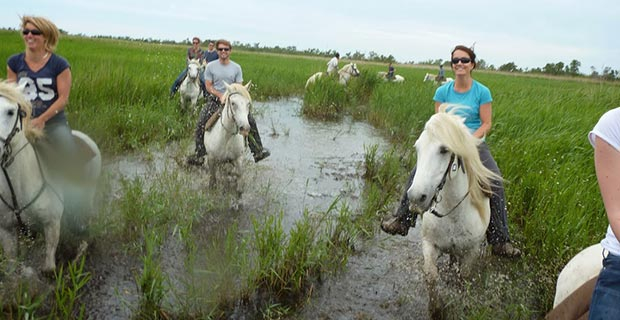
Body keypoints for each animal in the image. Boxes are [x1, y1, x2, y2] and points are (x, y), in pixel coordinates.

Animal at [203, 81, 252, 209]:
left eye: (248, 104)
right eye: (233, 103)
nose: (245, 128)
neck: (227, 136)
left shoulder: (238, 158)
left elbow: (239, 175)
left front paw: (237, 201)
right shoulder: (212, 159)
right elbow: (213, 180)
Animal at [406, 105, 498, 318]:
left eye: (444, 149)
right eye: (418, 148)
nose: (416, 197)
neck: (453, 213)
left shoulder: (471, 252)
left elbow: (463, 278)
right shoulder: (429, 245)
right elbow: (431, 276)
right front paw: (436, 309)